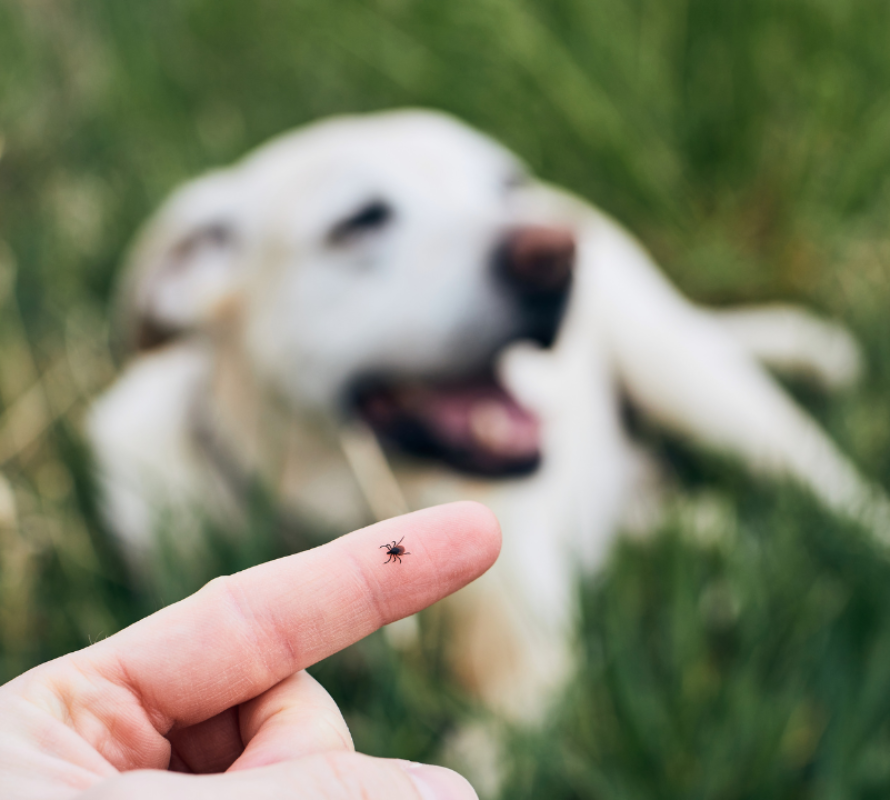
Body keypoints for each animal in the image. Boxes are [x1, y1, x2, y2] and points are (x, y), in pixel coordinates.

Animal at [88, 111, 888, 724]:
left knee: (832, 488)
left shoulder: (526, 676)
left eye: (506, 184)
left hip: (693, 382)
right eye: (358, 222)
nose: (554, 253)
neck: (342, 501)